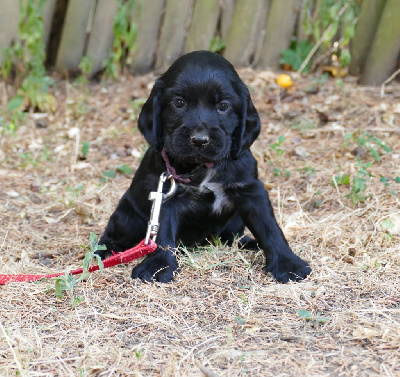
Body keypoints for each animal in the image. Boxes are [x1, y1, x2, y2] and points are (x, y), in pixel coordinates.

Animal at [98, 50, 310, 282]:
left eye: (223, 106)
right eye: (179, 103)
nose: (200, 140)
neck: (204, 167)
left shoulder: (252, 191)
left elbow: (270, 228)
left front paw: (288, 263)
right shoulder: (166, 195)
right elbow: (163, 234)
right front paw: (158, 266)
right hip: (127, 215)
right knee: (111, 236)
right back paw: (106, 253)